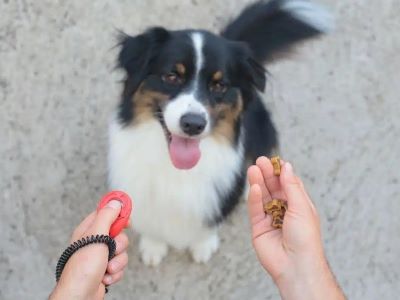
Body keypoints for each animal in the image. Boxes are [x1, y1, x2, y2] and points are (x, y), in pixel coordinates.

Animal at [108, 0, 332, 264]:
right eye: (172, 76)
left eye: (219, 85)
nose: (193, 124)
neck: (176, 169)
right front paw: (154, 246)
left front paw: (203, 244)